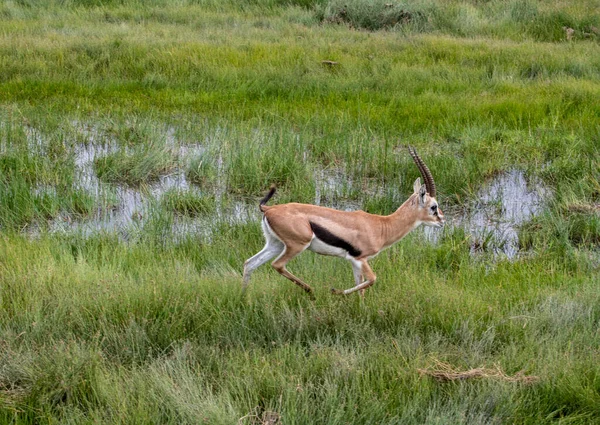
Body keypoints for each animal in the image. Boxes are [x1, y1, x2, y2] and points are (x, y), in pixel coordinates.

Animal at [241, 146, 442, 294]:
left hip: (275, 244)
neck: (381, 226)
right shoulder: (360, 258)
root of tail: (269, 209)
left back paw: (245, 299)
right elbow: (372, 280)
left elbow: (361, 287)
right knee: (277, 265)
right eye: (433, 206)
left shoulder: (354, 262)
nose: (442, 221)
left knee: (249, 264)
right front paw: (335, 292)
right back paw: (311, 291)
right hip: (297, 245)